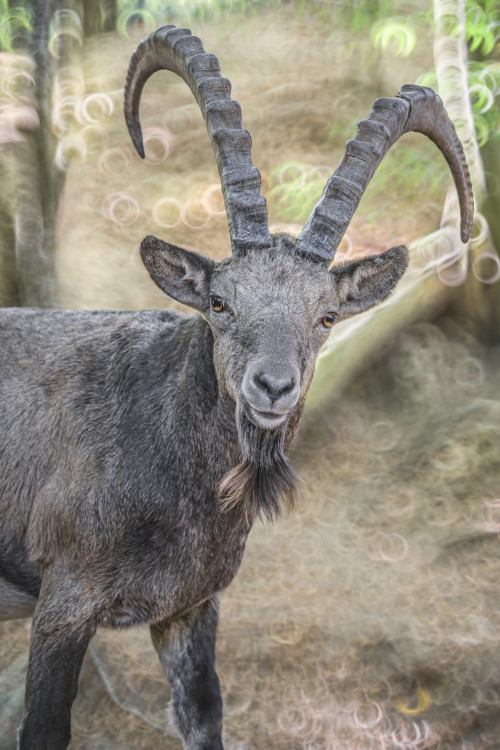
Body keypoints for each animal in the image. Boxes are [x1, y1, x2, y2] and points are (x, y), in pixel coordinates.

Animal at [0, 24, 473, 750]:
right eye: (220, 302)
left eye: (326, 316)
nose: (273, 386)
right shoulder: (61, 607)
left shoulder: (189, 609)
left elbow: (203, 715)